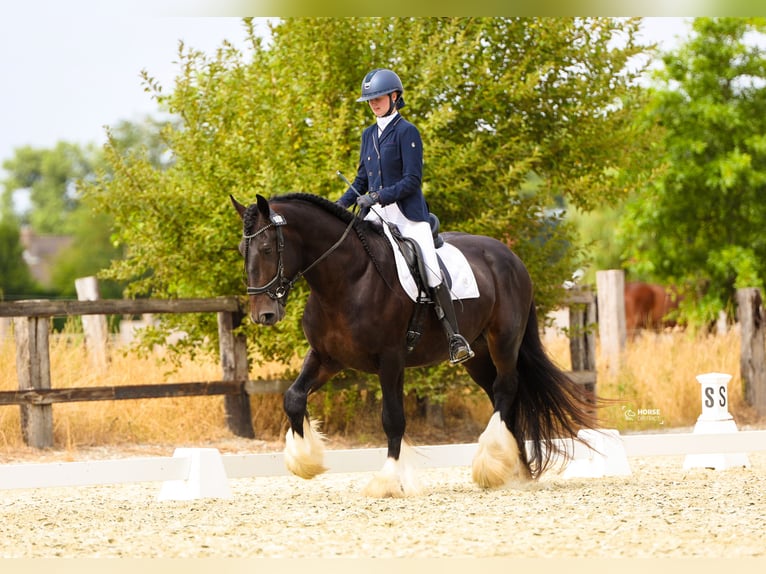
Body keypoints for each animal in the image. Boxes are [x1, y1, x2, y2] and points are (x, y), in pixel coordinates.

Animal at [231, 192, 600, 497]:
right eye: (242, 251)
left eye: (267, 249)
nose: (263, 314)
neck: (348, 279)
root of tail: (509, 256)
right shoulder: (326, 357)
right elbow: (294, 398)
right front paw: (306, 461)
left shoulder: (390, 359)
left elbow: (392, 418)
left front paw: (388, 481)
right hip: (477, 355)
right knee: (502, 395)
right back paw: (515, 469)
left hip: (504, 342)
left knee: (507, 388)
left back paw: (491, 464)